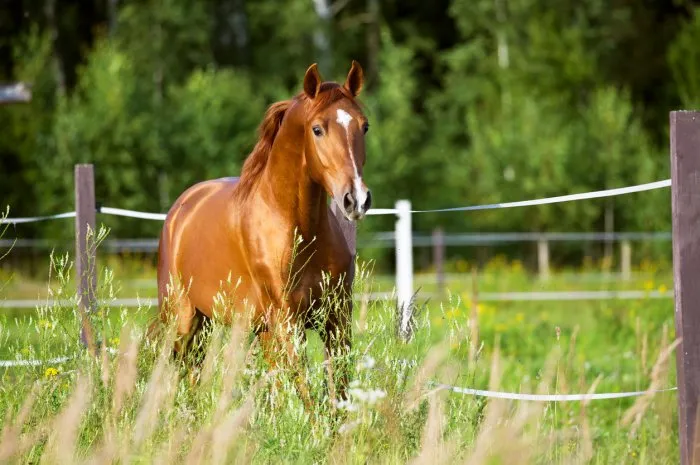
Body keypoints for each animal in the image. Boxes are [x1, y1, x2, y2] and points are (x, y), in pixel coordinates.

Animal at [155, 61, 372, 407]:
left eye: (364, 127)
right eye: (317, 129)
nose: (356, 199)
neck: (299, 229)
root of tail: (180, 209)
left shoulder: (336, 317)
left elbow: (338, 389)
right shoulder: (287, 322)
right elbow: (306, 393)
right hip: (183, 320)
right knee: (185, 372)